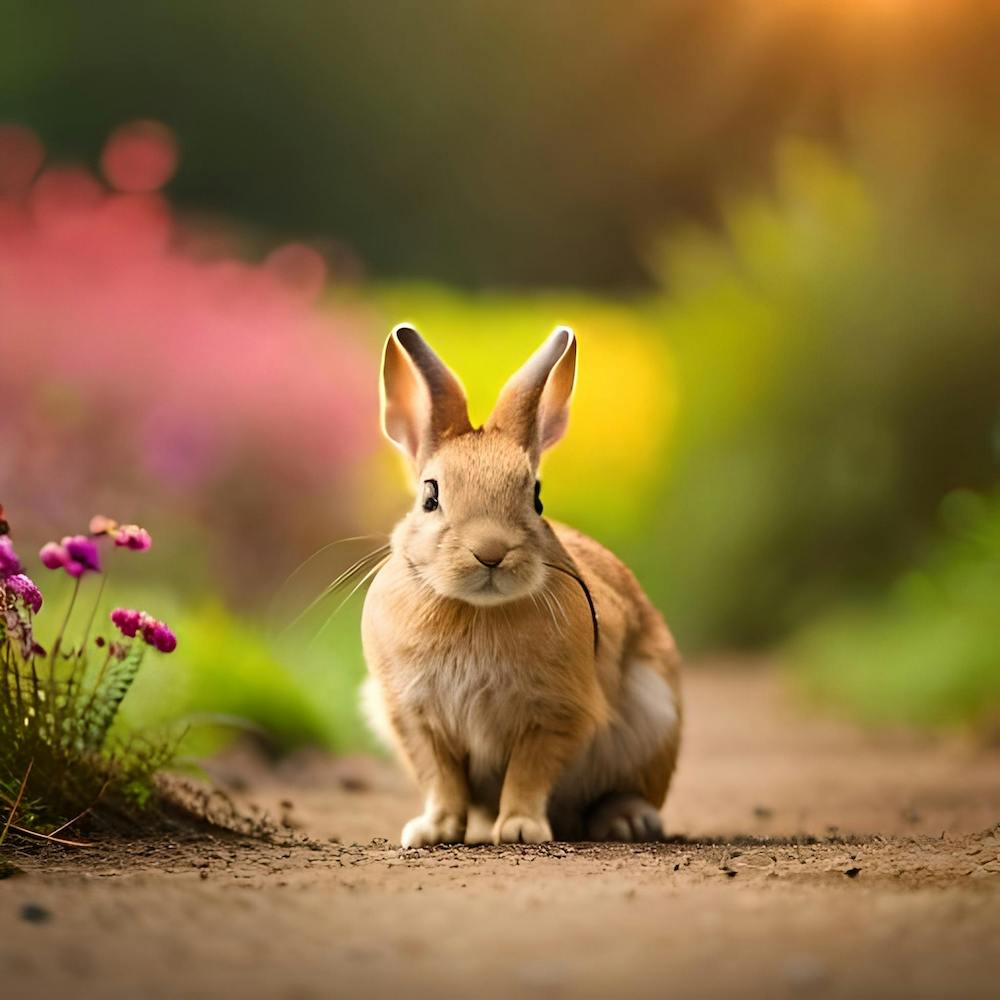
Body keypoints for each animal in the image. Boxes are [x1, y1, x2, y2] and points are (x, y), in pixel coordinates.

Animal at [361, 324, 681, 847]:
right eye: (430, 496)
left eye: (536, 497)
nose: (490, 551)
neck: (474, 608)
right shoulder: (415, 720)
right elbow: (441, 779)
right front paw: (433, 832)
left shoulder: (552, 716)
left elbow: (528, 773)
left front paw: (520, 830)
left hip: (656, 718)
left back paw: (627, 820)